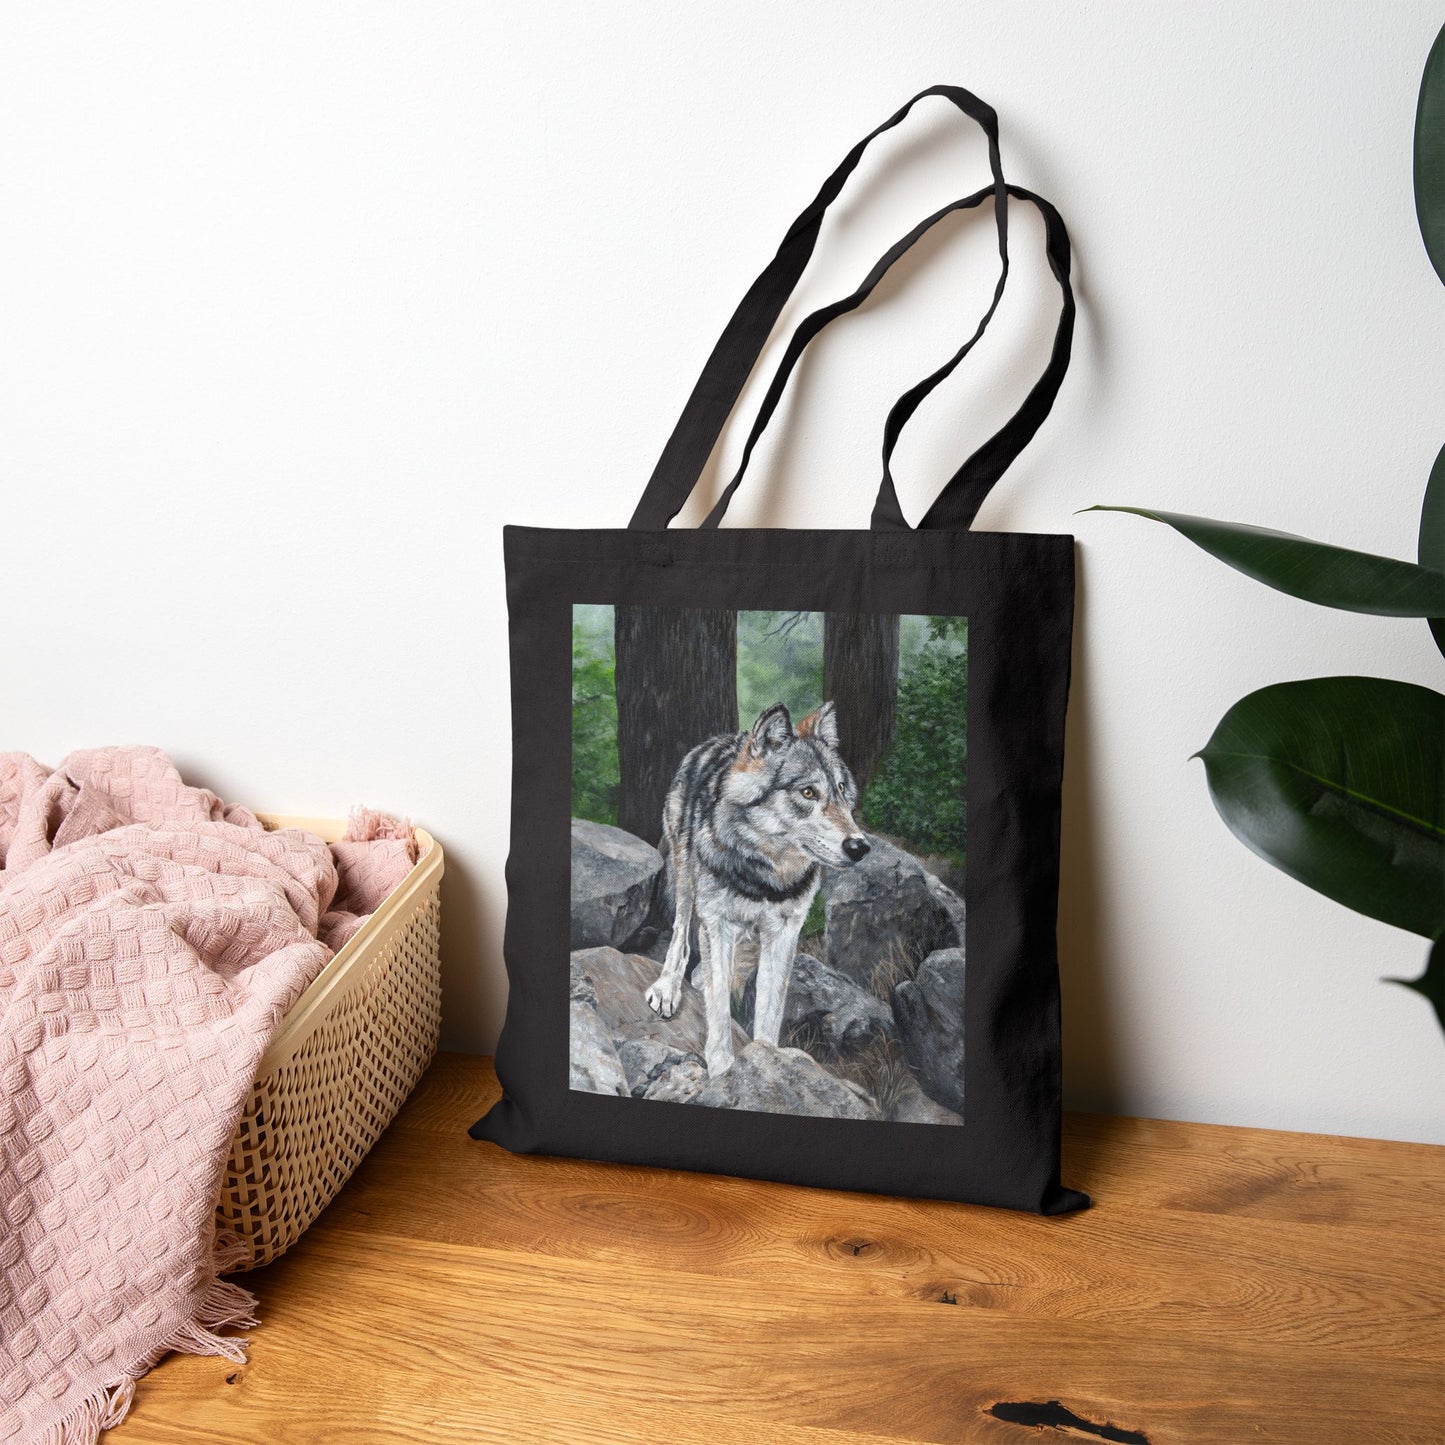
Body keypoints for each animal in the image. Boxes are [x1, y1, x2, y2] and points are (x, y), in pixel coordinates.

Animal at [644, 700, 871, 1079]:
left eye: (841, 789)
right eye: (808, 792)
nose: (860, 846)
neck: (766, 876)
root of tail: (720, 739)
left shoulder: (784, 932)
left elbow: (769, 1010)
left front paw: (768, 1063)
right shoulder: (717, 921)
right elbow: (720, 1009)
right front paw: (723, 1070)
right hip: (685, 878)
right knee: (680, 933)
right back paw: (668, 986)